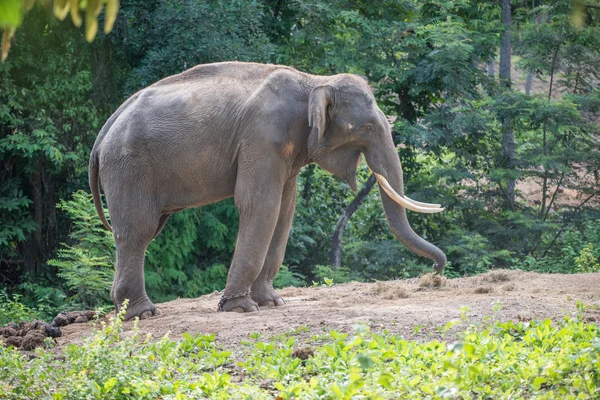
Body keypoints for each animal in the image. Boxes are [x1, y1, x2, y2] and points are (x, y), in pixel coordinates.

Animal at [89, 61, 446, 320]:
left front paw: (273, 303)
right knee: (138, 230)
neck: (314, 81)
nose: (435, 273)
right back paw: (142, 314)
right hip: (129, 165)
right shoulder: (262, 137)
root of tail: (106, 127)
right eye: (368, 127)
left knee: (144, 231)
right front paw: (241, 308)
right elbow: (260, 205)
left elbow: (285, 210)